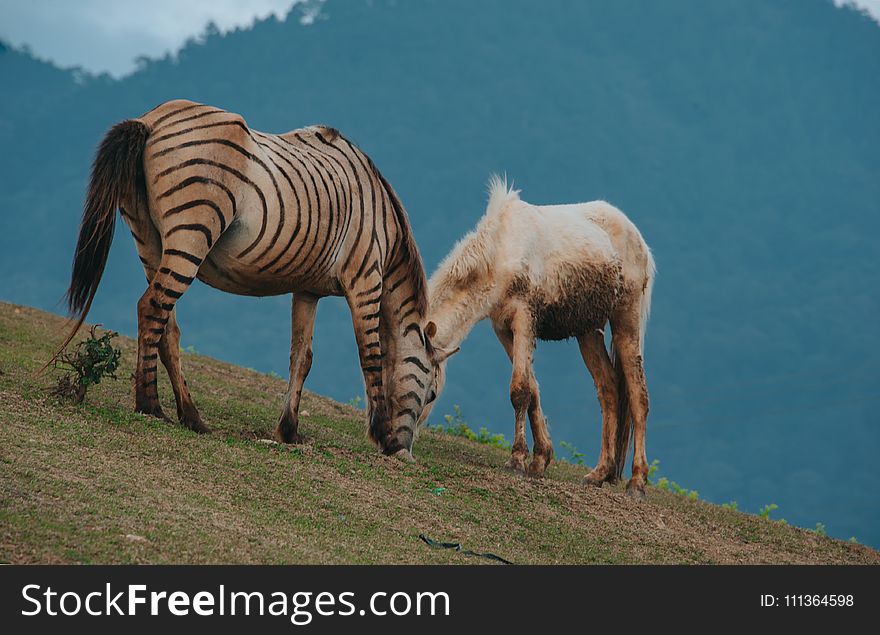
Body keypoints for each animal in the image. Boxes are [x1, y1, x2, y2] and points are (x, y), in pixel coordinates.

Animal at [58, 98, 450, 458]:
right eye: (431, 392)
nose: (404, 452)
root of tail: (151, 120)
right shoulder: (365, 279)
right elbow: (372, 357)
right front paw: (381, 435)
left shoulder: (307, 290)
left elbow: (302, 357)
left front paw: (289, 430)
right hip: (191, 234)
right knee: (152, 308)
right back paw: (150, 405)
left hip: (150, 241)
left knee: (167, 326)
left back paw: (191, 416)